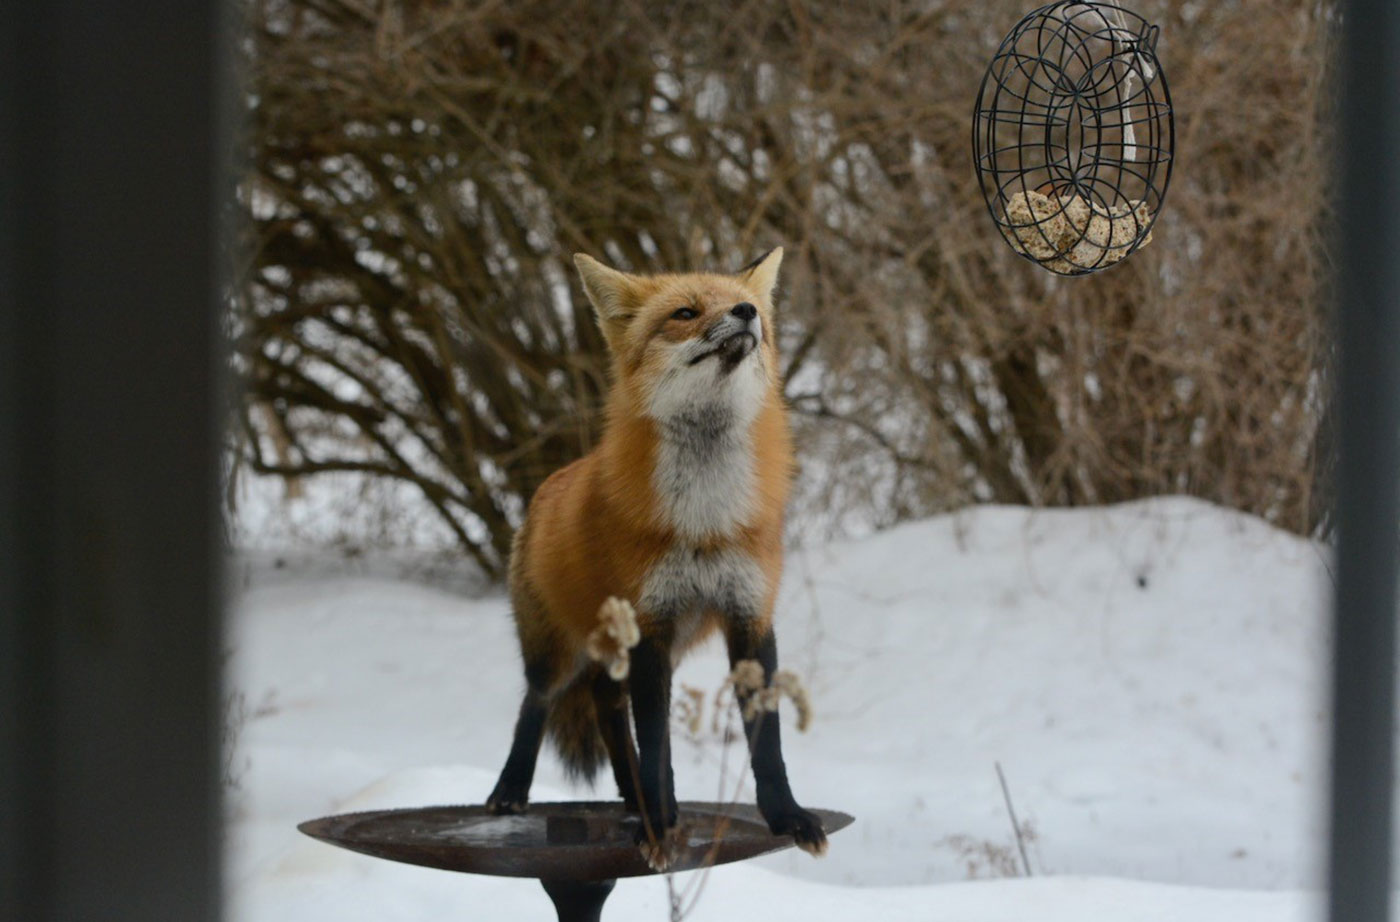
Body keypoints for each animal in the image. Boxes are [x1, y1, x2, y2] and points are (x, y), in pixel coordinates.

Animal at [487, 244, 823, 856]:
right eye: (685, 313)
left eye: (750, 307)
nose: (746, 312)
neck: (706, 521)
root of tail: (548, 486)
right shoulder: (651, 623)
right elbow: (658, 742)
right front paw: (662, 827)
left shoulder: (749, 616)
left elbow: (766, 744)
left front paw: (788, 817)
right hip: (559, 654)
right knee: (538, 702)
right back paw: (513, 790)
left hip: (642, 650)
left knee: (608, 714)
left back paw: (631, 797)